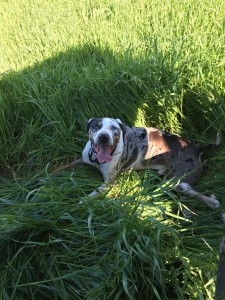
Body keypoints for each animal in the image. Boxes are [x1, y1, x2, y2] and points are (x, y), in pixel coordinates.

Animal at [53, 118, 223, 220]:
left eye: (114, 128)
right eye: (97, 126)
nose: (103, 137)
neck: (97, 160)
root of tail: (197, 148)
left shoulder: (108, 184)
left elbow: (86, 198)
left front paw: (73, 206)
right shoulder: (81, 160)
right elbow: (58, 169)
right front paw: (47, 177)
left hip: (179, 183)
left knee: (212, 200)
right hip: (169, 183)